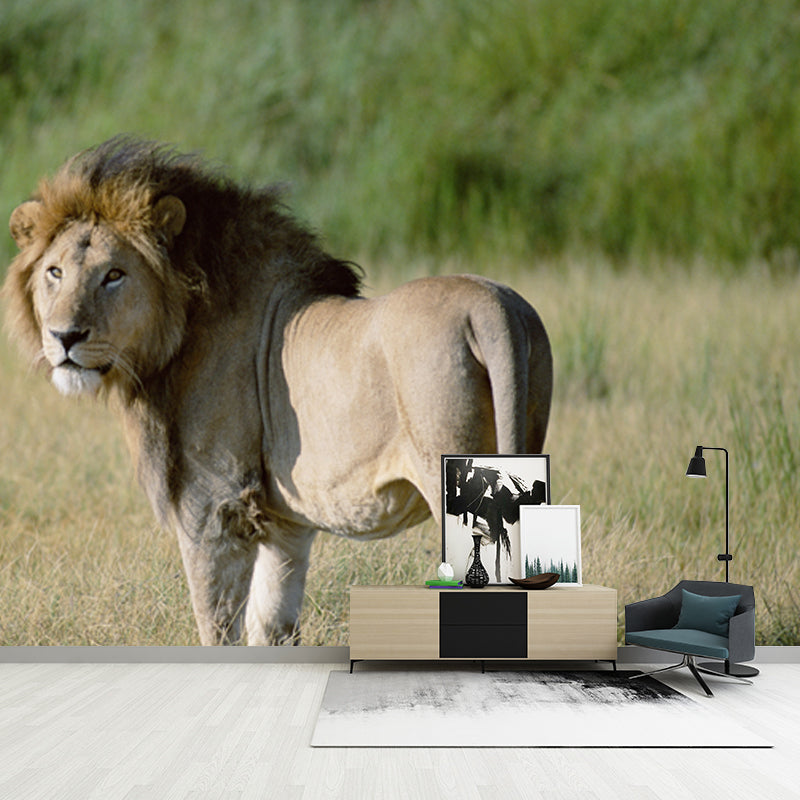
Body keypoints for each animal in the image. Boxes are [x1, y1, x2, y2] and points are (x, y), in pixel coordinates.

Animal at [3, 136, 553, 645]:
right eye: (55, 273)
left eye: (114, 275)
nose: (64, 337)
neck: (180, 328)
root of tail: (492, 307)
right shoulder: (284, 524)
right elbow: (271, 624)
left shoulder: (214, 506)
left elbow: (217, 628)